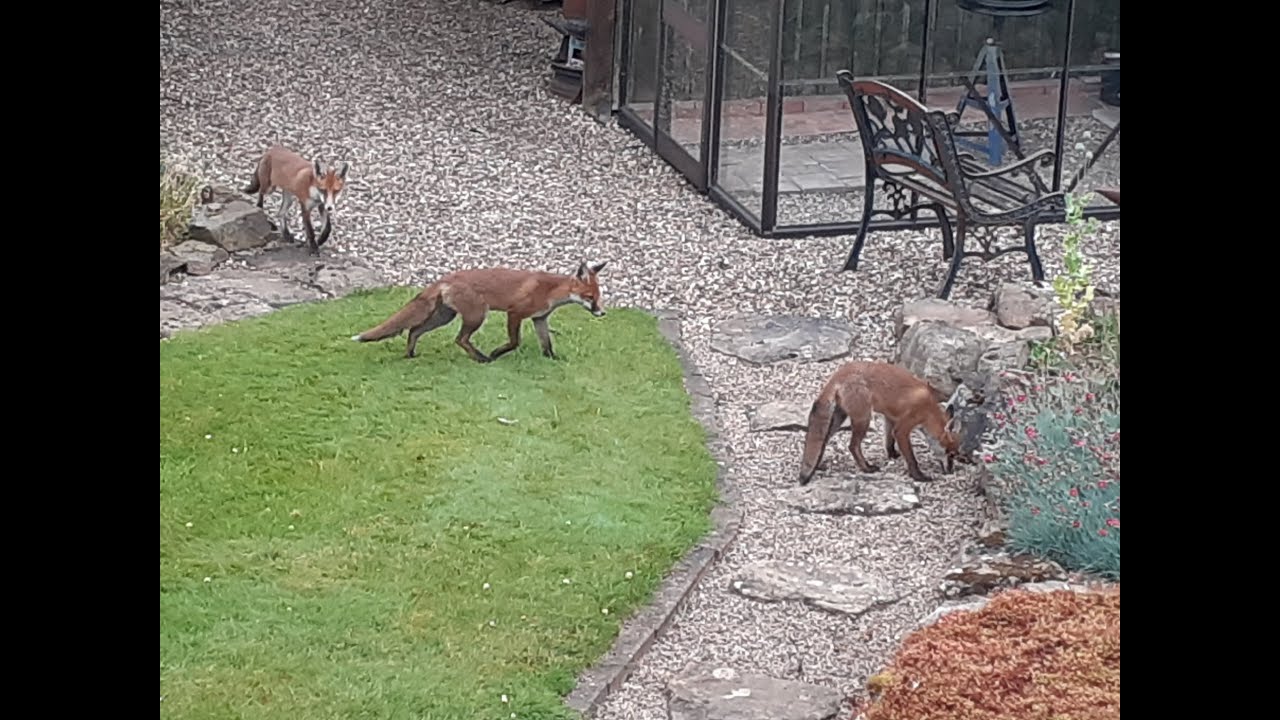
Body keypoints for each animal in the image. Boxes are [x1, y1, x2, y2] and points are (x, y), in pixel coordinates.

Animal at [351, 261, 608, 363]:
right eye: (590, 298)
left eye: (599, 297)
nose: (602, 313)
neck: (551, 291)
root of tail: (445, 278)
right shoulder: (515, 313)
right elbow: (514, 342)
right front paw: (497, 352)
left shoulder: (539, 319)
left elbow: (547, 343)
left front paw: (552, 359)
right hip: (477, 315)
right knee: (460, 339)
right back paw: (482, 358)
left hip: (444, 317)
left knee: (414, 330)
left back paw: (410, 354)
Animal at [798, 361, 970, 485]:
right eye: (951, 455)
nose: (951, 471)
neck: (929, 409)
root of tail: (839, 374)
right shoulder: (904, 426)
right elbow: (911, 458)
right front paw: (918, 476)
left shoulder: (891, 418)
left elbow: (889, 441)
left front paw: (892, 455)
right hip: (863, 419)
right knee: (852, 446)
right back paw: (866, 468)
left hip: (840, 418)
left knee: (823, 440)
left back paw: (818, 464)